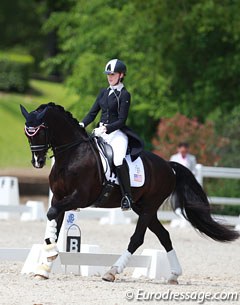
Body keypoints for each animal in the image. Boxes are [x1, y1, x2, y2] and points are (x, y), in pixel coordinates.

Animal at [20, 102, 238, 282]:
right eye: (27, 134)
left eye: (39, 131)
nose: (38, 162)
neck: (72, 154)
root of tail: (168, 165)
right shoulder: (59, 197)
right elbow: (53, 221)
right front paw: (45, 265)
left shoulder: (79, 198)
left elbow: (52, 213)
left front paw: (49, 256)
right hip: (143, 208)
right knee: (164, 235)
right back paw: (174, 275)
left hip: (148, 208)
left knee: (137, 238)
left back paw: (112, 271)